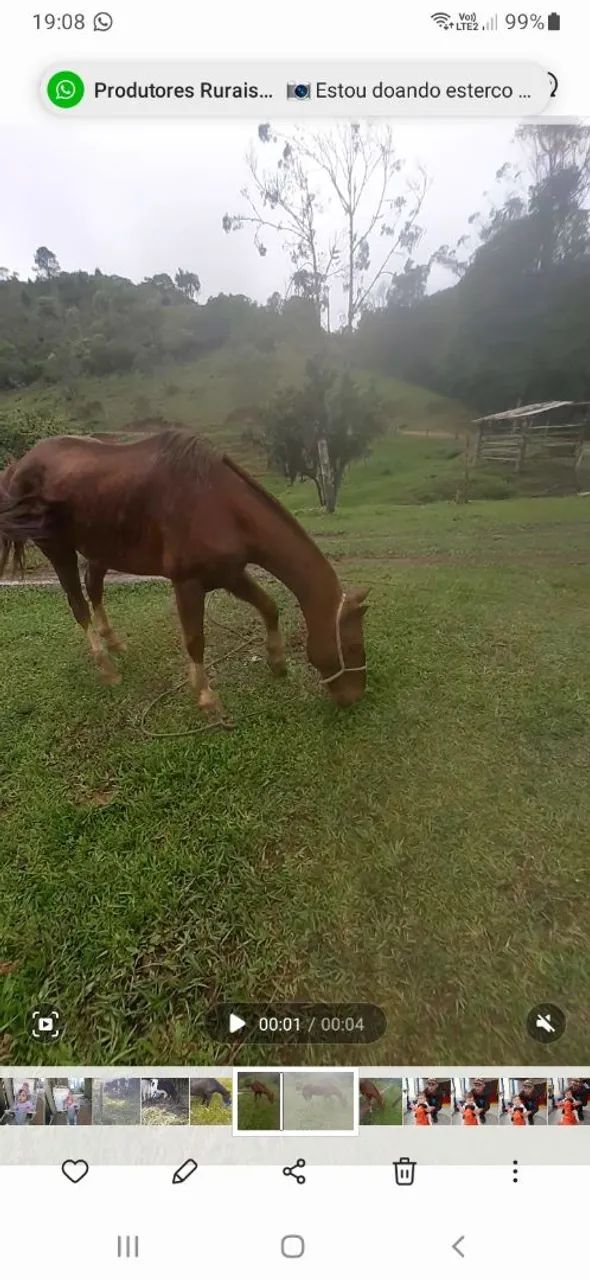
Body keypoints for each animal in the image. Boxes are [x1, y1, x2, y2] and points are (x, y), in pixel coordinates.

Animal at [0, 427, 369, 714]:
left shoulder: (230, 574)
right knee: (78, 605)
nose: (354, 697)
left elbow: (269, 606)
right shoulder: (188, 584)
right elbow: (195, 640)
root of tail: (21, 464)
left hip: (100, 549)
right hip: (58, 550)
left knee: (94, 589)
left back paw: (114, 642)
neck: (221, 505)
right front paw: (205, 697)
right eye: (351, 647)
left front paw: (277, 662)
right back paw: (106, 666)